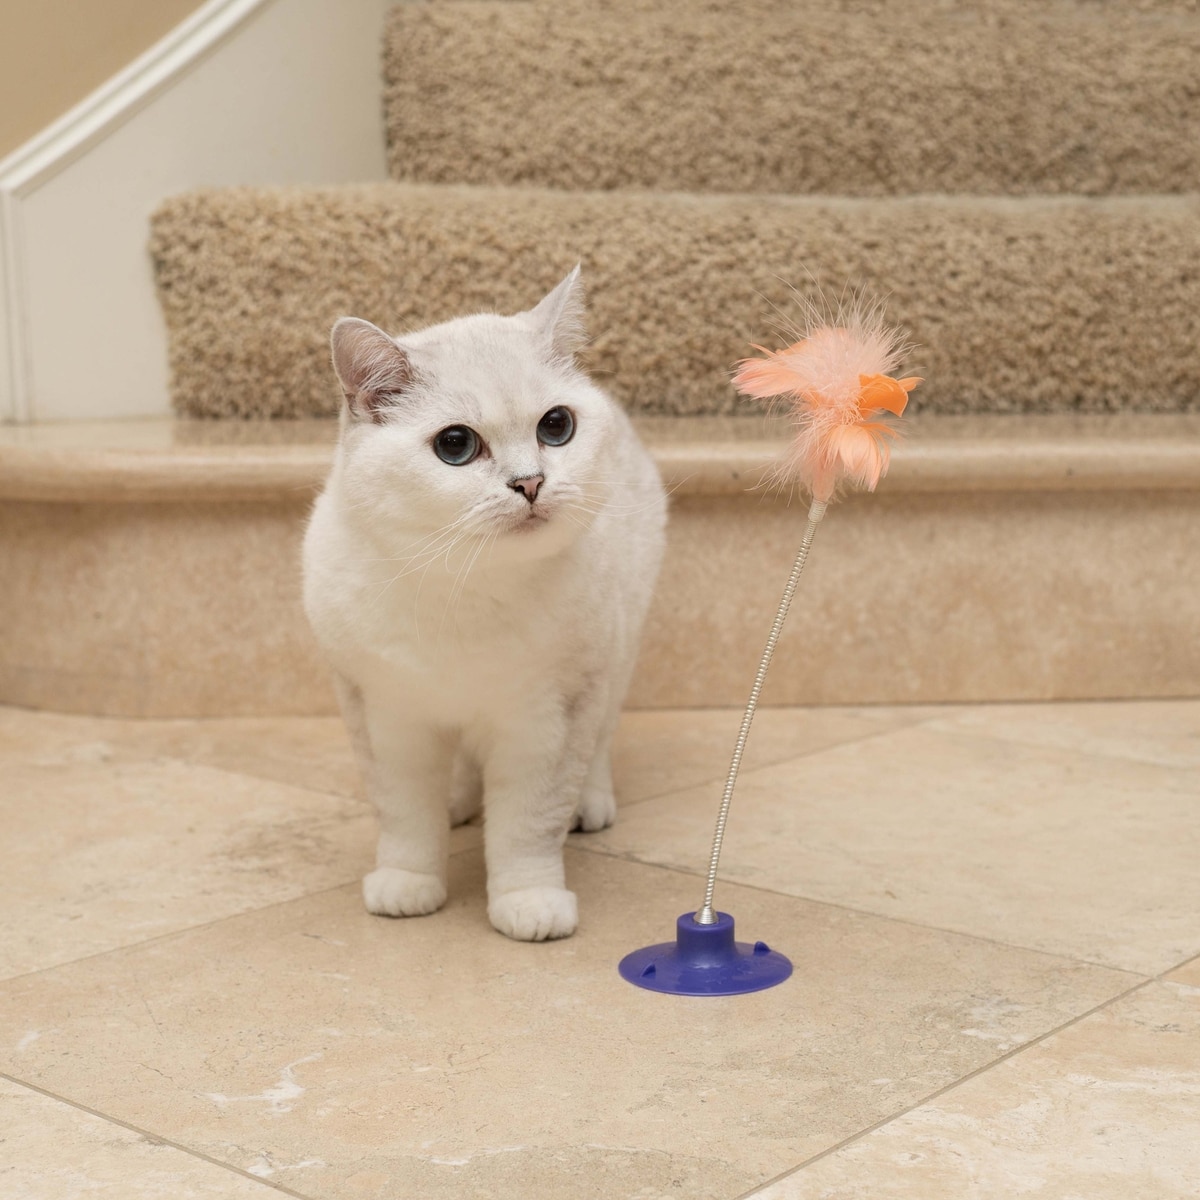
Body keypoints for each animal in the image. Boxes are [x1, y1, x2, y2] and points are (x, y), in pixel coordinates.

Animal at [302, 267, 666, 941]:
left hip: (616, 655)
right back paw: (459, 804)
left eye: (556, 427)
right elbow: (403, 816)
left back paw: (589, 804)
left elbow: (528, 824)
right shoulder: (384, 715)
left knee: (600, 740)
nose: (530, 482)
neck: (464, 593)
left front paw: (530, 902)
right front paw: (407, 883)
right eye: (455, 445)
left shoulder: (548, 721)